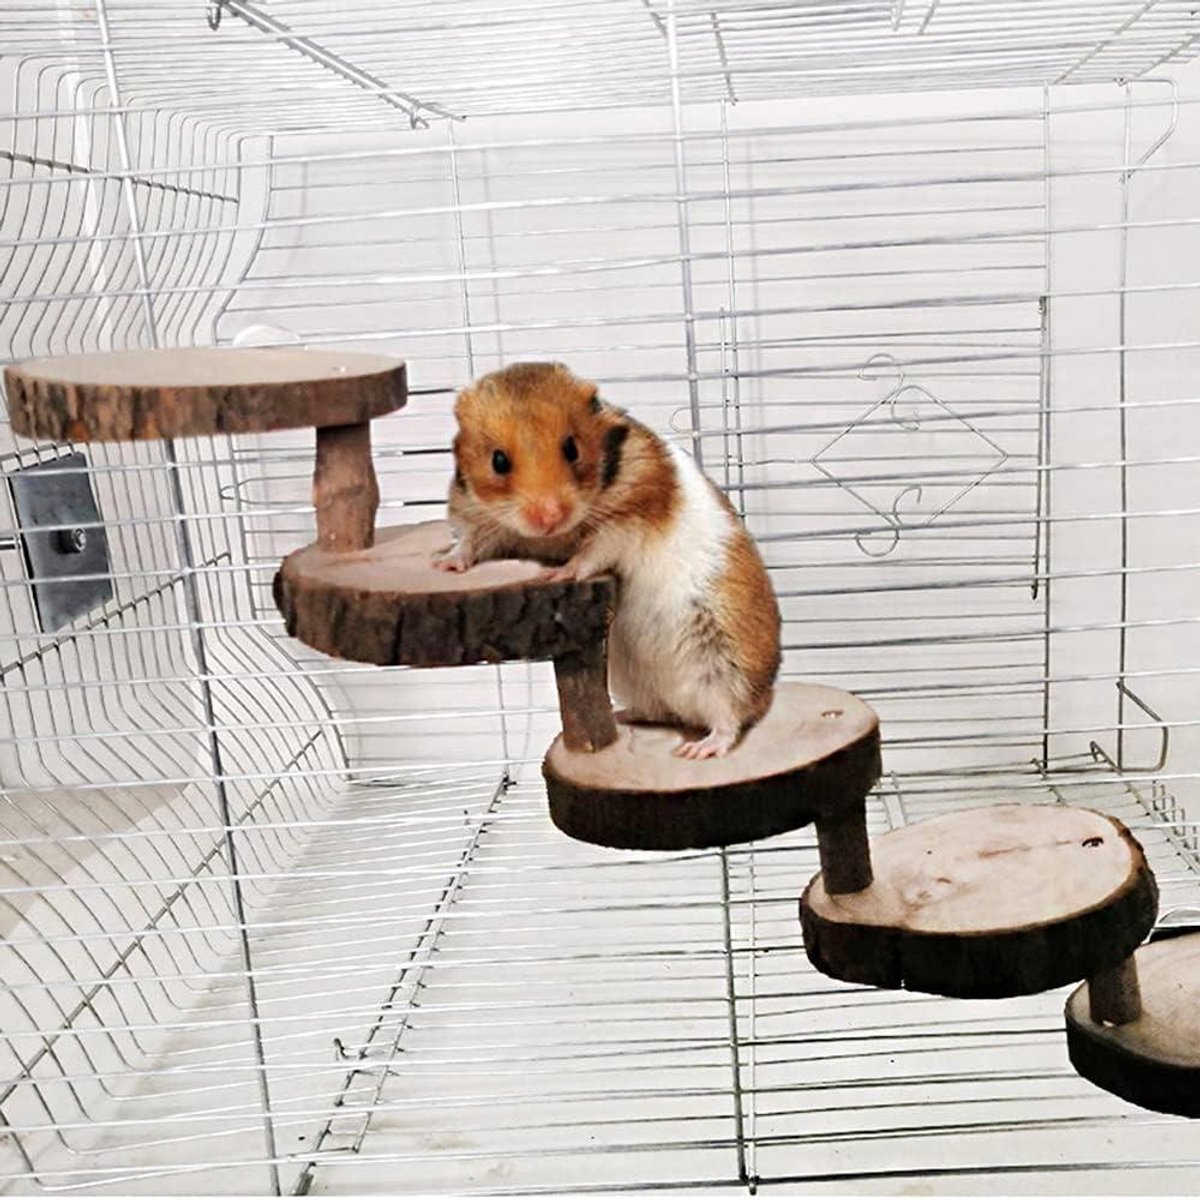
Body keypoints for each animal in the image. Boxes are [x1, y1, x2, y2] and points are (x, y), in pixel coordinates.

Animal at [434, 362, 781, 759]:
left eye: (571, 449)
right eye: (498, 460)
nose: (550, 517)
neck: (553, 537)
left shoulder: (626, 522)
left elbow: (593, 552)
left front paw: (560, 574)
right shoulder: (481, 520)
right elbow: (470, 543)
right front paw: (445, 565)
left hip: (724, 662)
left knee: (729, 719)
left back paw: (697, 750)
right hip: (633, 676)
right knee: (659, 711)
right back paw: (623, 717)